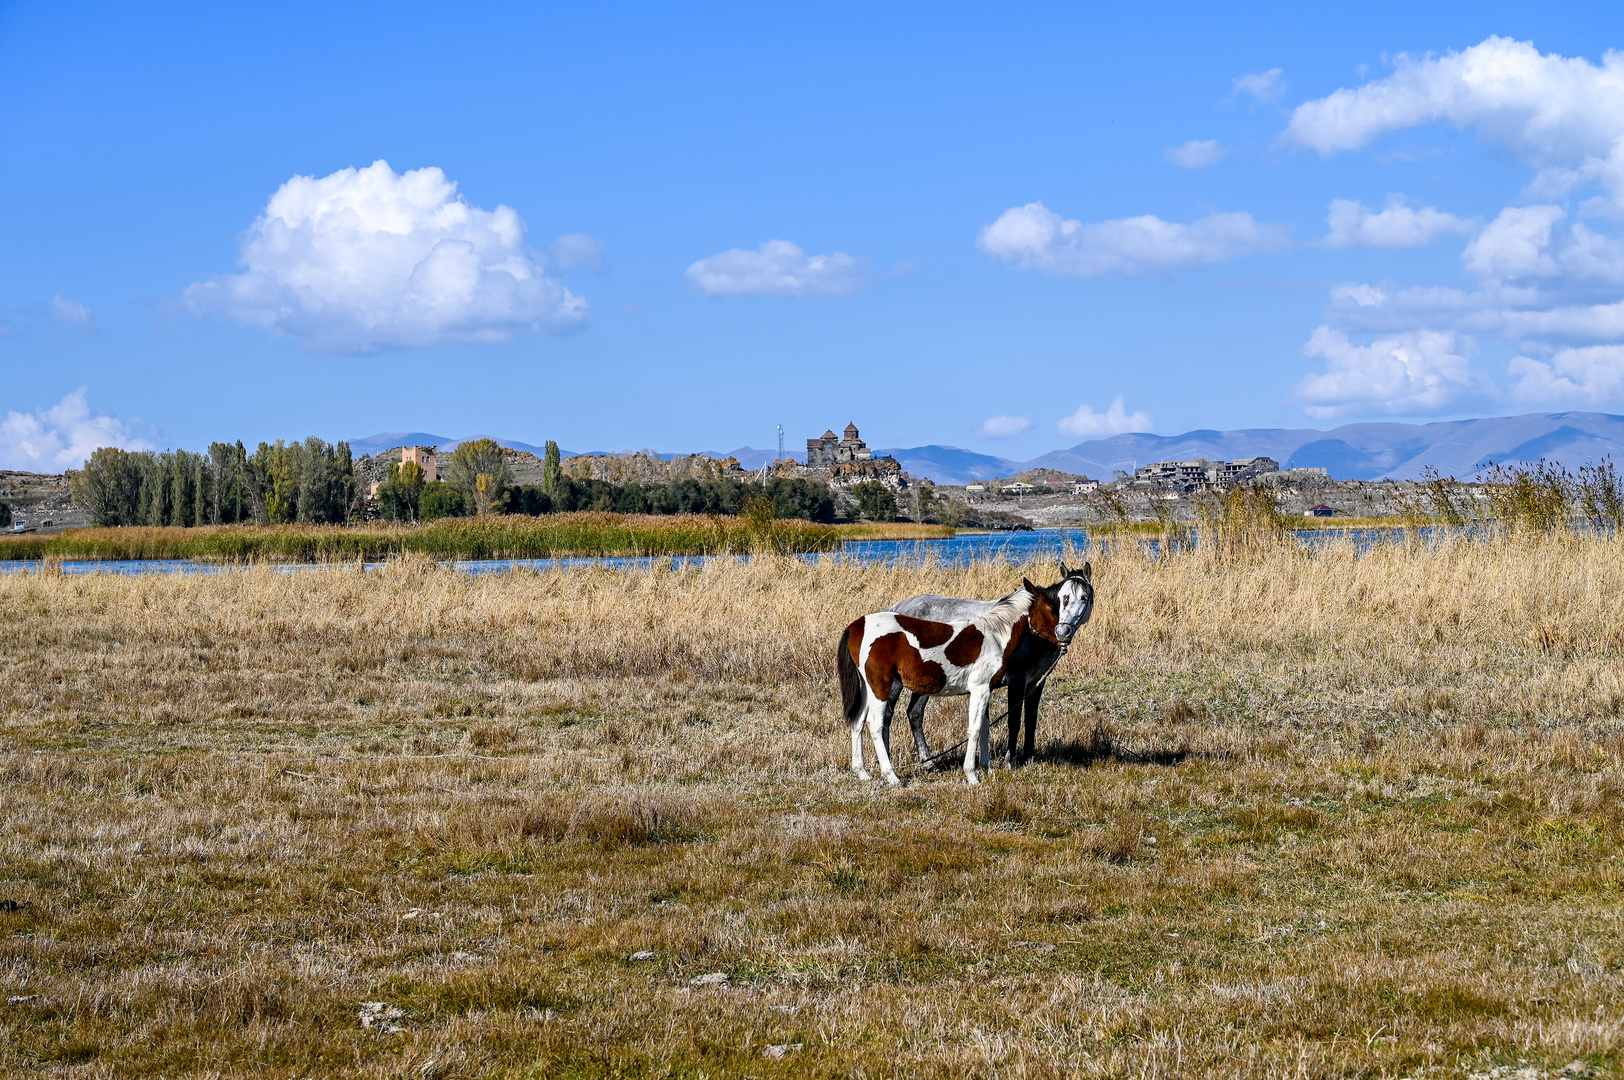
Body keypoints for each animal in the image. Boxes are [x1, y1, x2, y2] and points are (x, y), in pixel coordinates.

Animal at [837, 581, 1065, 782]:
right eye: (1052, 606)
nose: (1064, 634)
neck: (995, 635)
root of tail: (856, 627)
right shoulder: (980, 689)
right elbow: (974, 729)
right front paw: (972, 775)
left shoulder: (985, 690)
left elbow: (984, 726)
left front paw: (987, 769)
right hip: (880, 685)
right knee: (875, 724)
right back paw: (891, 776)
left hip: (867, 686)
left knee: (857, 721)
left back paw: (863, 773)